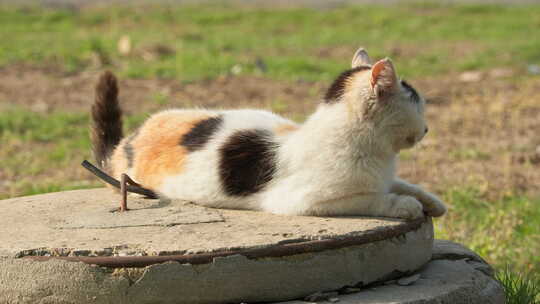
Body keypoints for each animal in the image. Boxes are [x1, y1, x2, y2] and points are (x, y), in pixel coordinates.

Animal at [92, 48, 448, 218]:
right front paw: (404, 205)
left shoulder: (386, 177)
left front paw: (433, 202)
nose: (427, 127)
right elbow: (371, 198)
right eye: (418, 105)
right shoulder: (304, 201)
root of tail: (126, 143)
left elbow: (404, 184)